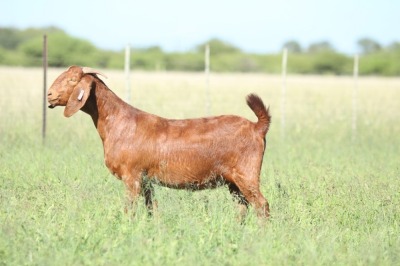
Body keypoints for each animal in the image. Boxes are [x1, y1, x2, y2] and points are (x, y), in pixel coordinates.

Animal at [47, 66, 272, 218]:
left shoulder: (132, 176)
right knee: (242, 206)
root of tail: (256, 127)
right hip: (233, 181)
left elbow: (130, 209)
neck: (119, 122)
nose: (49, 95)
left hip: (247, 173)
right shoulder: (147, 180)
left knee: (262, 204)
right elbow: (152, 209)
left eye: (72, 80)